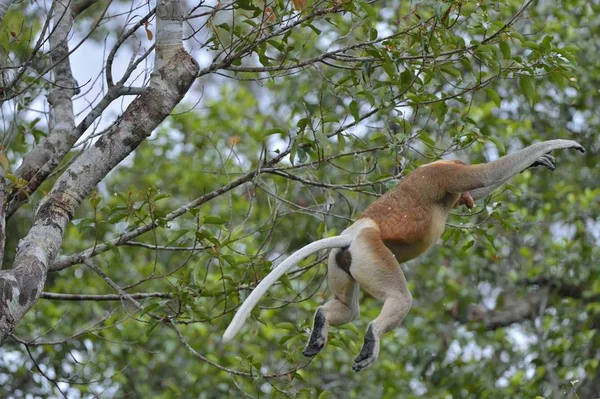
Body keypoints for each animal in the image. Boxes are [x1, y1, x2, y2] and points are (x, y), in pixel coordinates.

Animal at [223, 140, 584, 372]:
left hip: (341, 261)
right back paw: (372, 339)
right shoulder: (442, 177)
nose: (466, 201)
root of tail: (352, 234)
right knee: (397, 298)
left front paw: (539, 160)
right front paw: (555, 147)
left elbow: (485, 183)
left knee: (347, 309)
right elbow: (484, 175)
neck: (437, 164)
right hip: (371, 253)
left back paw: (321, 325)